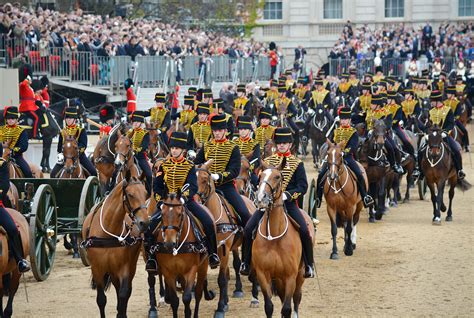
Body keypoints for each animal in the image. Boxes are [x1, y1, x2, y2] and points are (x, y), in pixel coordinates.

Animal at [81, 173, 148, 318]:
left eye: (146, 194)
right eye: (130, 194)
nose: (145, 222)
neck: (108, 233)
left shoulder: (124, 268)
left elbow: (123, 294)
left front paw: (121, 313)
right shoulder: (97, 269)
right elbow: (101, 299)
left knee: (125, 291)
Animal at [148, 190, 207, 318]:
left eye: (180, 214)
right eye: (162, 214)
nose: (170, 243)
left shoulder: (191, 270)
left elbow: (187, 297)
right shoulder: (168, 271)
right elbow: (175, 300)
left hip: (203, 267)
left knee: (198, 293)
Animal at [194, 160, 260, 314]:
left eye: (204, 180)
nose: (194, 200)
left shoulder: (223, 249)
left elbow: (222, 279)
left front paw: (220, 307)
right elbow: (205, 278)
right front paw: (214, 297)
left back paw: (254, 297)